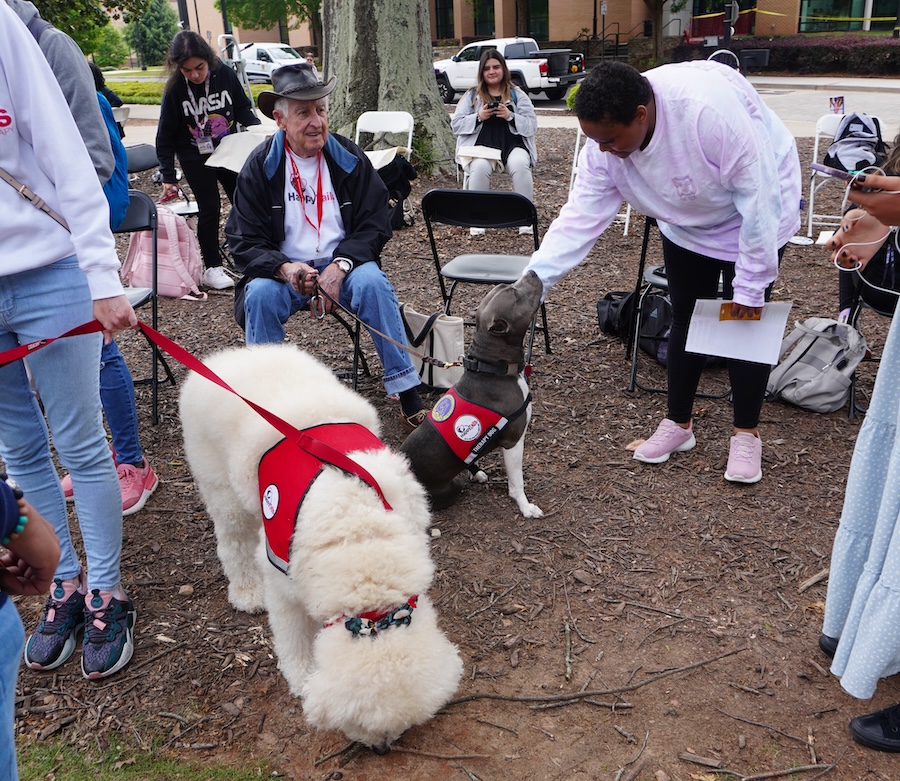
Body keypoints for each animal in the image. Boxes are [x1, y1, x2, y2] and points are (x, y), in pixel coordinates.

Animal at [400, 270, 540, 516]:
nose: (532, 271)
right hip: (451, 486)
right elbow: (517, 483)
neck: (492, 368)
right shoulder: (513, 441)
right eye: (515, 294)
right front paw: (526, 507)